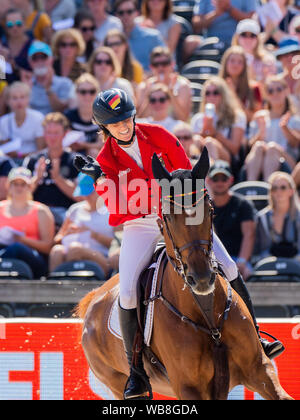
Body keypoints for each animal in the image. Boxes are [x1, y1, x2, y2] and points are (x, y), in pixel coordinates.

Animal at [75, 148, 292, 400]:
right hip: (118, 383)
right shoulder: (189, 388)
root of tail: (93, 300)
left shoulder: (259, 370)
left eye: (210, 211)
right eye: (168, 216)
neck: (207, 314)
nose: (201, 279)